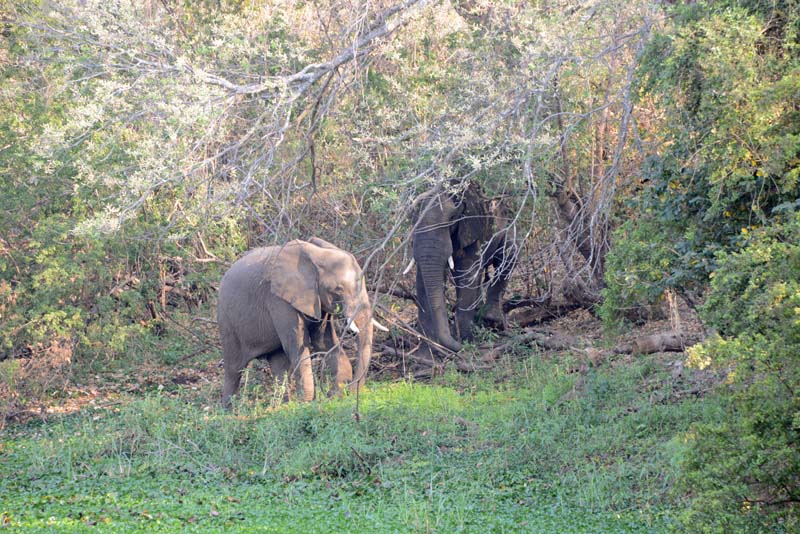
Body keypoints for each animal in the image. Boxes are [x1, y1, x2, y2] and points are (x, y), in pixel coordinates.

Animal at [219, 237, 388, 408]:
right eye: (338, 289)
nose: (351, 391)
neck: (316, 255)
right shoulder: (278, 299)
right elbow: (297, 343)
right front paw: (307, 402)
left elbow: (323, 341)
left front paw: (335, 395)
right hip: (227, 321)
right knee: (234, 368)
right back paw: (227, 409)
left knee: (278, 363)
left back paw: (280, 406)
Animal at [406, 182, 520, 354]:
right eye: (413, 219)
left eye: (452, 218)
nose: (464, 348)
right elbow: (422, 280)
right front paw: (427, 347)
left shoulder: (472, 226)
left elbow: (468, 273)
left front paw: (466, 340)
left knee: (508, 254)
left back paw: (491, 319)